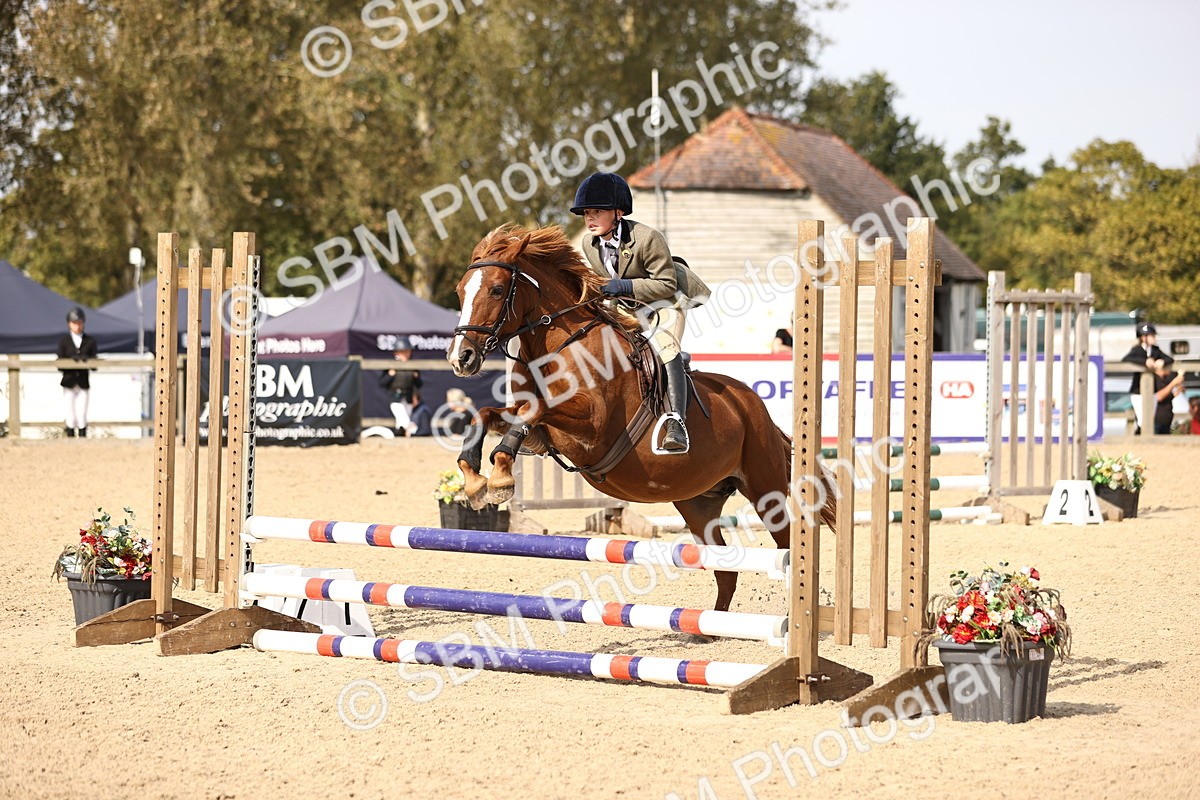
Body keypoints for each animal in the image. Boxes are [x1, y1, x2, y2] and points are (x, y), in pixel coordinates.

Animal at [446, 224, 836, 612]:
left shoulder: (592, 429)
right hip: (699, 502)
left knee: (787, 548)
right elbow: (488, 415)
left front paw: (499, 477)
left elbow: (534, 410)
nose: (460, 358)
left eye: (497, 289)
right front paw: (474, 479)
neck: (560, 346)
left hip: (765, 488)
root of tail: (751, 403)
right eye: (460, 291)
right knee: (725, 569)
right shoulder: (543, 435)